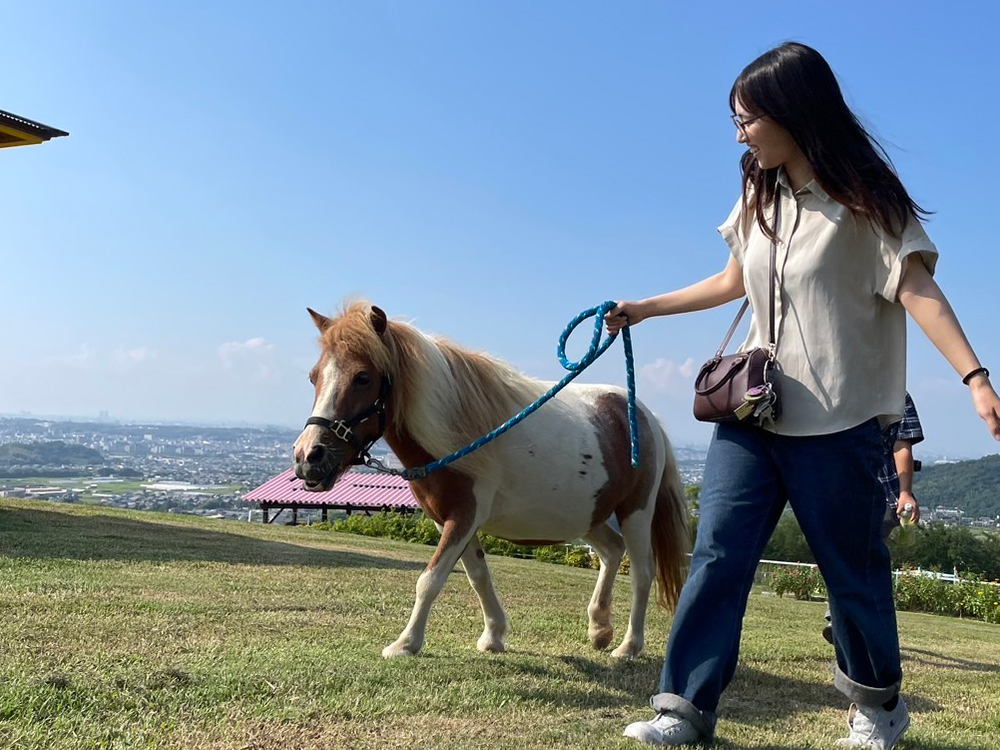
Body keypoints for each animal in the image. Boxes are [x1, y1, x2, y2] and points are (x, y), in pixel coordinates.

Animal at [292, 302, 692, 660]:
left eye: (363, 377)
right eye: (313, 376)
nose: (308, 456)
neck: (456, 433)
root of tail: (647, 417)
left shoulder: (465, 515)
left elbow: (430, 580)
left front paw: (405, 644)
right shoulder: (451, 519)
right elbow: (477, 575)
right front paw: (494, 635)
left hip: (635, 511)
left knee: (642, 573)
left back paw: (629, 645)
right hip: (586, 514)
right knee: (611, 550)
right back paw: (599, 628)